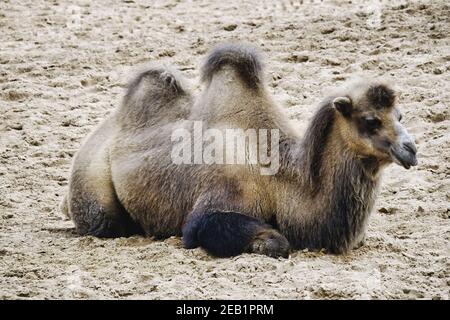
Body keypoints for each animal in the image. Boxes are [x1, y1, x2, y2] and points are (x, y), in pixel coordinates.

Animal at [60, 43, 418, 258]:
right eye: (370, 120)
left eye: (400, 115)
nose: (411, 149)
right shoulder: (214, 207)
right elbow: (275, 241)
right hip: (93, 193)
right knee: (106, 223)